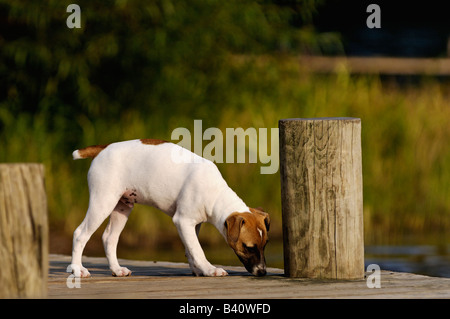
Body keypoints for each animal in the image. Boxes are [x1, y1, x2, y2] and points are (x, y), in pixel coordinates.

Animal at [68, 138, 268, 278]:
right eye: (248, 247)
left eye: (264, 245)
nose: (263, 272)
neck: (215, 193)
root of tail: (105, 148)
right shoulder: (183, 221)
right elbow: (198, 250)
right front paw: (209, 269)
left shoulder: (193, 225)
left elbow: (190, 248)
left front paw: (198, 269)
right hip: (103, 201)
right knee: (79, 234)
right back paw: (78, 270)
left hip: (122, 208)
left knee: (109, 238)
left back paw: (117, 270)